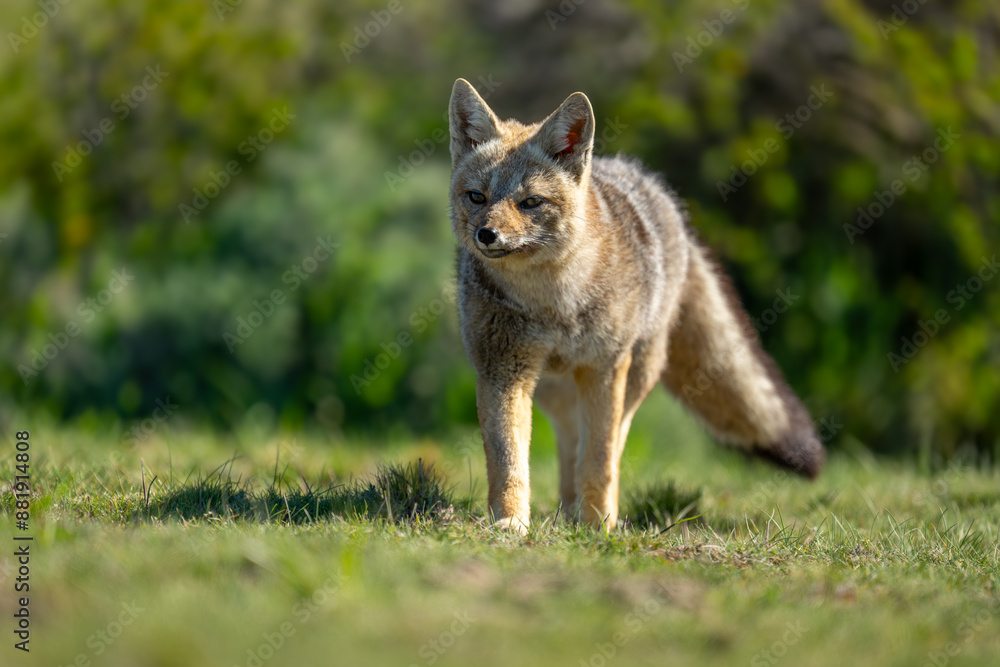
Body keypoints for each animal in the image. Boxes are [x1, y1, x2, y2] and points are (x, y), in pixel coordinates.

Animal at [447, 78, 825, 533]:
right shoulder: (502, 370)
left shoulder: (605, 367)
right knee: (569, 447)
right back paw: (565, 512)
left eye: (531, 202)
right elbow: (508, 461)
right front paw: (509, 522)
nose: (487, 235)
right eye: (477, 197)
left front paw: (599, 528)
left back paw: (587, 515)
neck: (554, 304)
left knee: (607, 444)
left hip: (636, 372)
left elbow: (600, 459)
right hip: (555, 391)